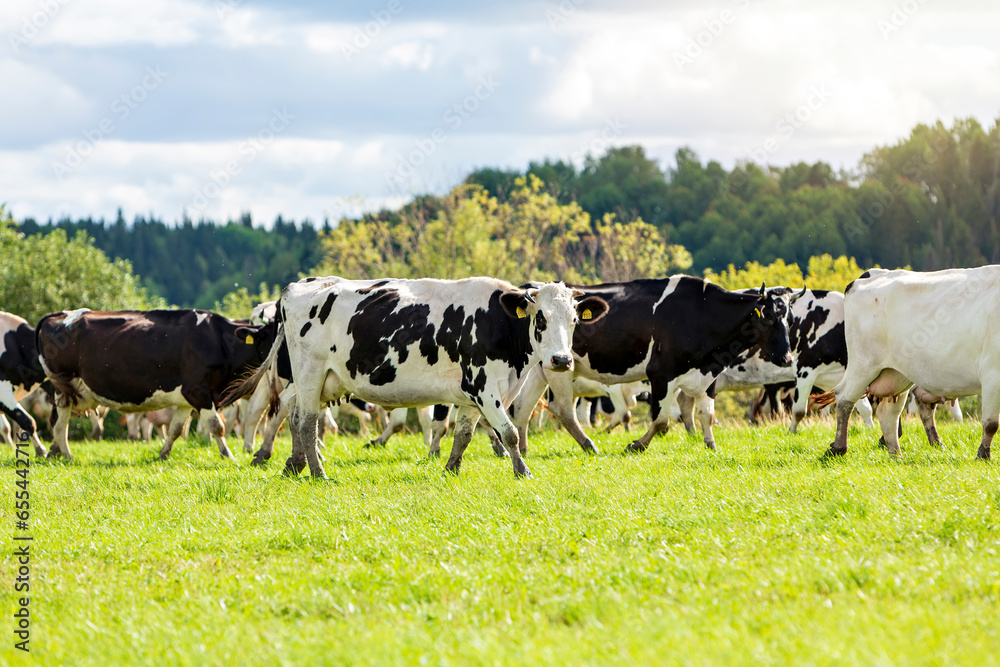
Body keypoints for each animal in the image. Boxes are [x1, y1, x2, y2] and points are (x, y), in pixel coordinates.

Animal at [38, 308, 278, 460]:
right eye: (273, 335)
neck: (219, 342)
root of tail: (62, 314)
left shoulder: (186, 400)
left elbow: (175, 429)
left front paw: (163, 454)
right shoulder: (199, 391)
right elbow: (216, 426)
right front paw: (228, 455)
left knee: (56, 422)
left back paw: (55, 453)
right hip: (63, 390)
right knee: (60, 425)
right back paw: (67, 455)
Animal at [222, 278, 604, 480]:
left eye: (574, 319)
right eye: (540, 318)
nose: (561, 360)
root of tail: (303, 283)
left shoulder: (475, 395)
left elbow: (463, 434)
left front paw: (451, 469)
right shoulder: (483, 387)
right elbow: (508, 433)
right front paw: (522, 471)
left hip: (322, 381)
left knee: (295, 414)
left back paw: (294, 464)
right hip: (310, 373)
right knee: (305, 422)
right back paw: (317, 473)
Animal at [512, 276, 792, 454]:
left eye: (787, 317)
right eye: (768, 316)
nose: (788, 358)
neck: (700, 314)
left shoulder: (708, 374)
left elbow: (707, 415)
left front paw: (711, 446)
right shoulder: (660, 374)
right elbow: (661, 420)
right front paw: (636, 445)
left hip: (539, 369)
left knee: (524, 407)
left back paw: (524, 449)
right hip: (559, 366)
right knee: (563, 409)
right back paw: (589, 445)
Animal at [824, 266, 1000, 460]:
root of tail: (873, 274)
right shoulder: (992, 373)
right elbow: (991, 424)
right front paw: (983, 455)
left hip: (897, 373)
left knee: (888, 414)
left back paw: (896, 455)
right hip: (863, 364)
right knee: (844, 398)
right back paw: (839, 448)